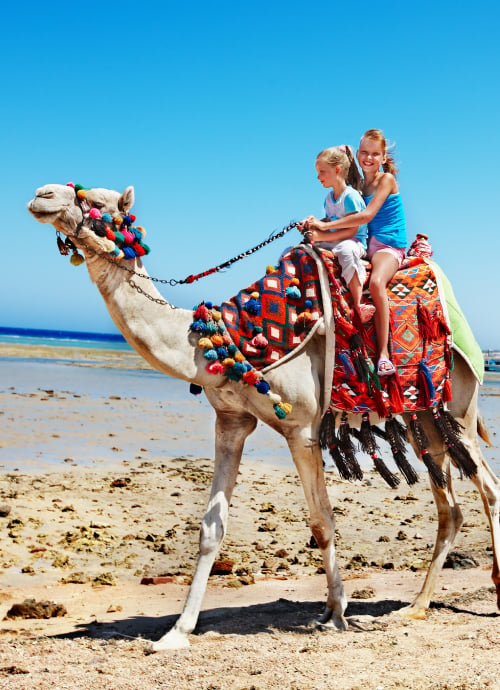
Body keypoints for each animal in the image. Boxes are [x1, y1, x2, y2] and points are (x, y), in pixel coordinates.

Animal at [28, 183, 500, 652]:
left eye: (96, 202)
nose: (42, 194)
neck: (224, 340)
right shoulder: (230, 421)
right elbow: (211, 528)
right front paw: (176, 632)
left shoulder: (302, 429)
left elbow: (322, 522)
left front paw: (335, 614)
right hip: (426, 416)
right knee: (450, 508)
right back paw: (416, 606)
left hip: (459, 403)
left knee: (489, 488)